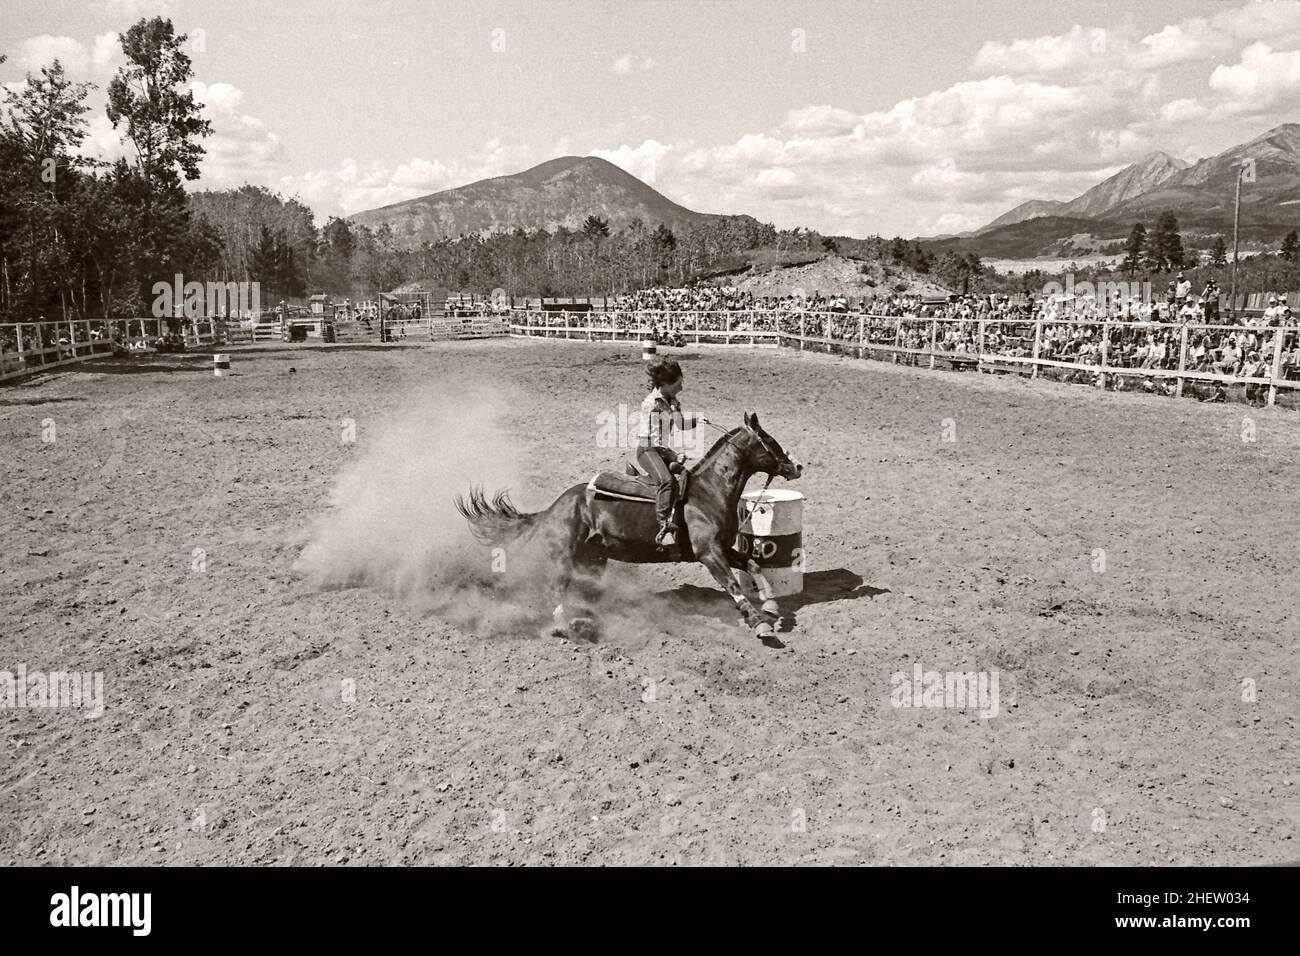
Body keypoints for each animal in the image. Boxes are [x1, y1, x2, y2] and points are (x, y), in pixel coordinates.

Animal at [457, 413, 800, 642]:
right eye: (769, 441)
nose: (796, 465)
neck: (709, 492)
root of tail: (556, 506)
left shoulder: (724, 549)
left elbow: (753, 564)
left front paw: (772, 605)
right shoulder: (709, 553)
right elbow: (733, 585)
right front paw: (759, 623)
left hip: (594, 558)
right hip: (565, 556)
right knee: (556, 588)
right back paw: (563, 626)